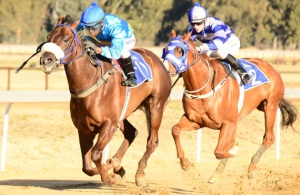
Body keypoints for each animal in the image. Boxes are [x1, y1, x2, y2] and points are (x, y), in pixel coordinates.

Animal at [37, 15, 171, 186]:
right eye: (48, 38)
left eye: (66, 39)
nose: (46, 60)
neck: (90, 81)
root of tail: (158, 60)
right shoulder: (84, 128)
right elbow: (87, 167)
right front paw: (113, 169)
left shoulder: (109, 123)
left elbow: (95, 154)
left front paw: (109, 175)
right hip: (122, 114)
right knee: (131, 132)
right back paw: (117, 164)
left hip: (156, 106)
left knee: (152, 141)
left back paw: (139, 174)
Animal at [163, 29, 298, 184]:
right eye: (165, 49)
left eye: (180, 50)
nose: (166, 69)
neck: (203, 85)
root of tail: (270, 67)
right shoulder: (196, 121)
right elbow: (175, 130)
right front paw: (186, 164)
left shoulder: (228, 122)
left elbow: (220, 150)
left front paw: (233, 151)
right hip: (257, 108)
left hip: (270, 106)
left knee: (269, 138)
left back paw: (251, 168)